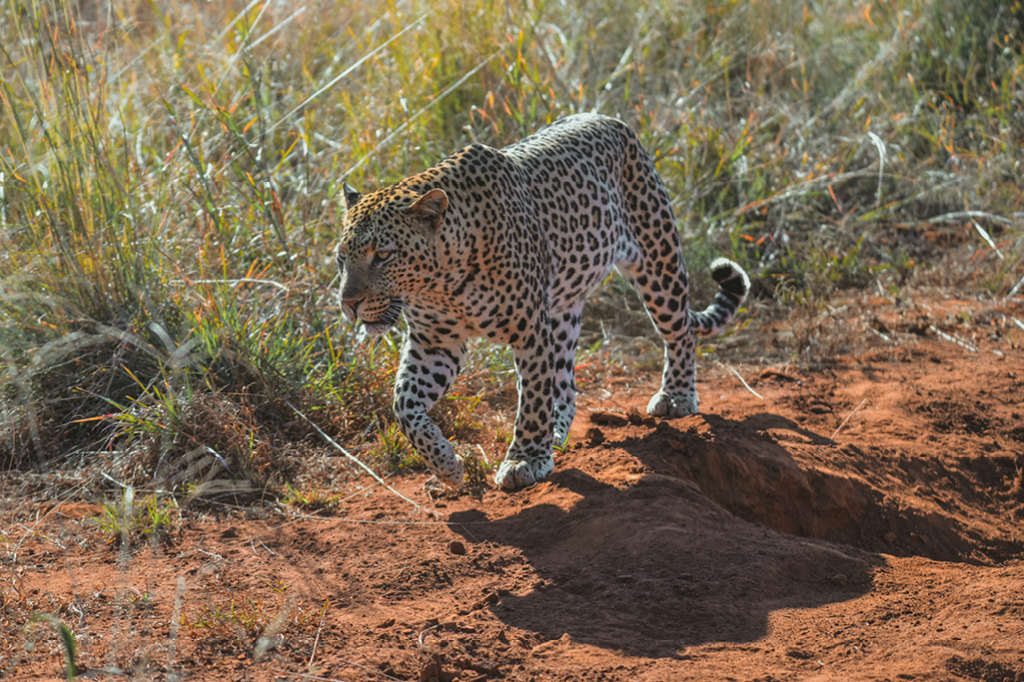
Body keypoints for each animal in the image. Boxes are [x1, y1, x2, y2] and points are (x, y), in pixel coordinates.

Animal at [336, 113, 749, 490]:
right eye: (342, 257)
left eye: (382, 255)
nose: (348, 303)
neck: (441, 284)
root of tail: (608, 118)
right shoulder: (436, 342)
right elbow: (404, 404)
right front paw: (445, 464)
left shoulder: (529, 330)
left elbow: (533, 397)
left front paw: (525, 460)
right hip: (563, 310)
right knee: (565, 384)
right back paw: (556, 433)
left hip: (658, 263)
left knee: (680, 333)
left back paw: (677, 395)